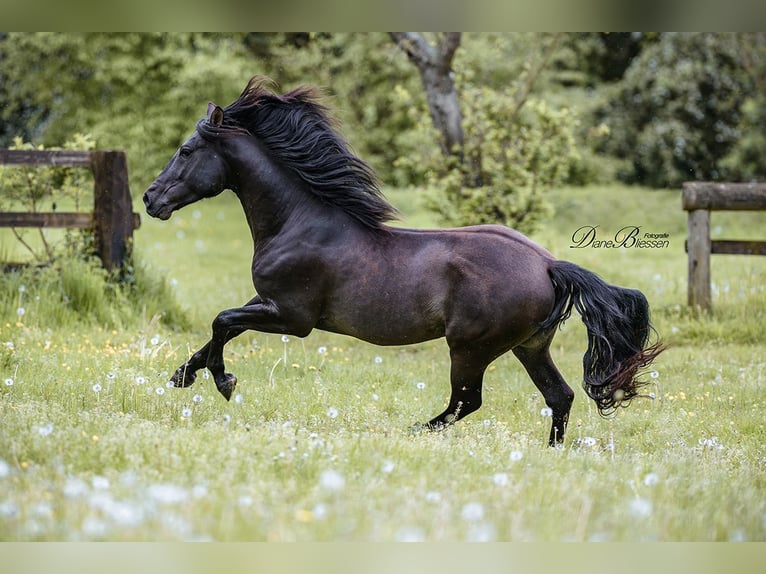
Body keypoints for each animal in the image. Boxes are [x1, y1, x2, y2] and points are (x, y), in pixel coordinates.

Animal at [146, 76, 664, 446]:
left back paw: (412, 432)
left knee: (466, 402)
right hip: (529, 346)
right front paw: (183, 375)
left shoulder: (293, 317)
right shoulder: (266, 301)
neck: (299, 222)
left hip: (470, 348)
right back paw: (549, 451)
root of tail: (548, 264)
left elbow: (221, 321)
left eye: (186, 150)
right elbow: (221, 328)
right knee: (559, 395)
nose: (151, 199)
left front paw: (224, 382)